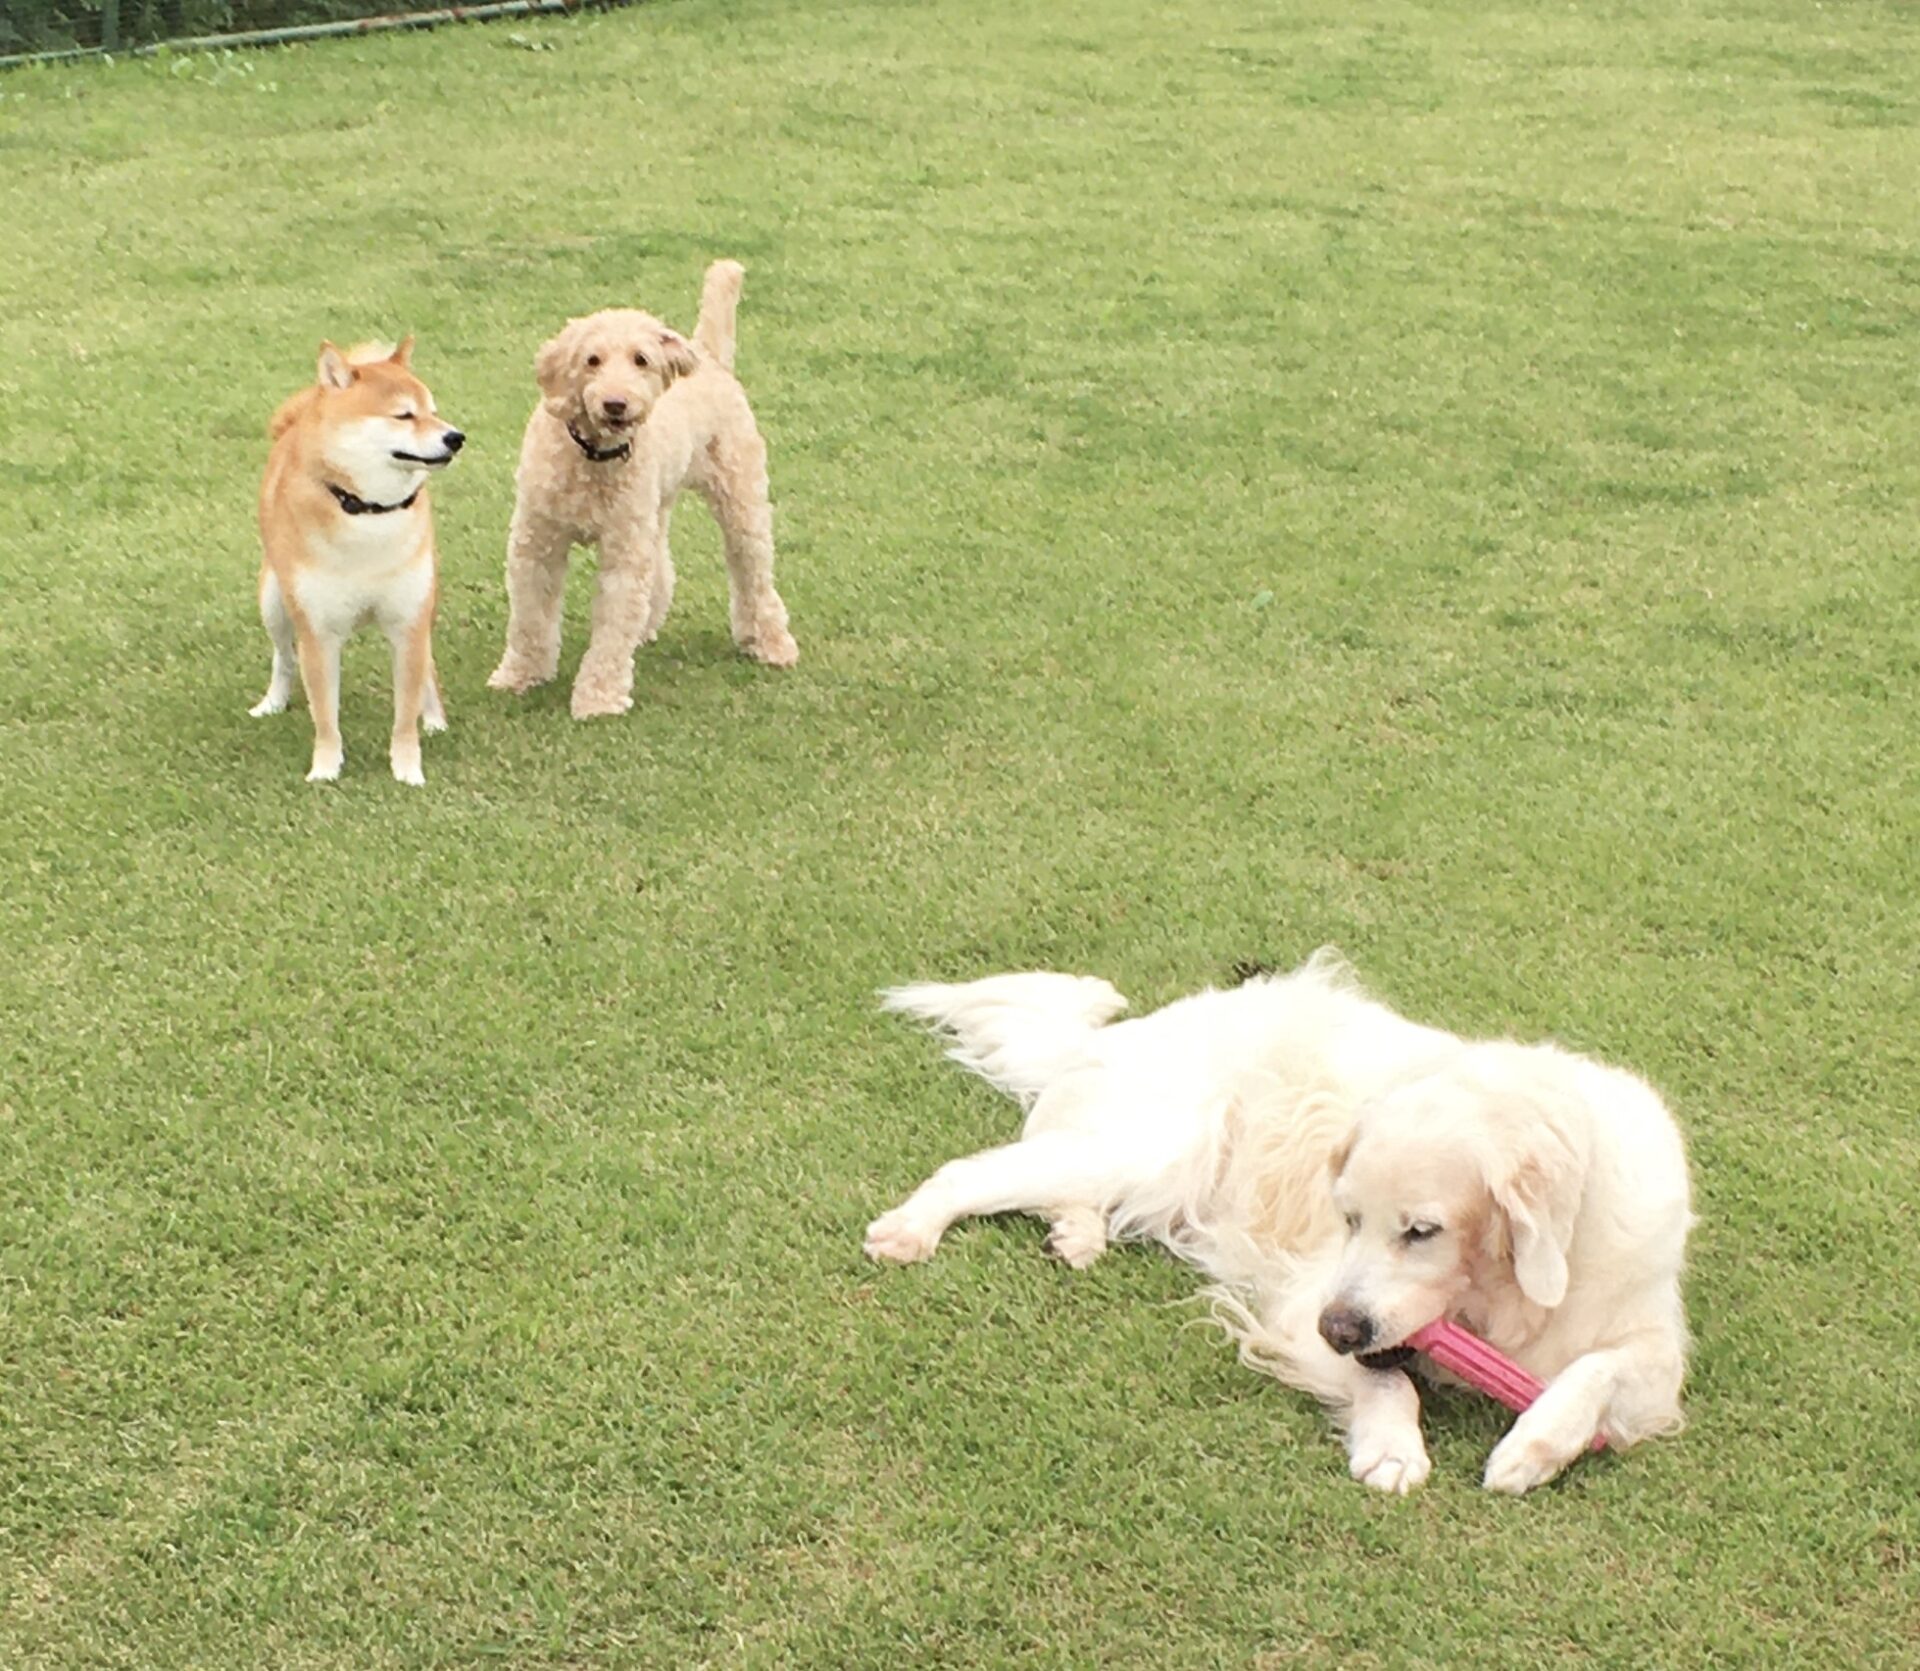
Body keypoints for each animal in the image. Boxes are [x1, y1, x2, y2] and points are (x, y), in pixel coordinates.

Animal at [251, 339, 464, 784]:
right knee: (283, 657)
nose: (456, 437)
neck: (369, 513)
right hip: (274, 602)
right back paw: (272, 702)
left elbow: (405, 715)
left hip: (426, 605)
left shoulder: (408, 623)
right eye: (404, 414)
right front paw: (325, 769)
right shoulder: (318, 633)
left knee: (429, 667)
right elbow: (325, 716)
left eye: (434, 410)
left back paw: (435, 718)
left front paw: (407, 771)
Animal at [486, 260, 798, 719]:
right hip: (656, 507)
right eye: (592, 360)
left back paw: (771, 643)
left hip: (741, 502)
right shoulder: (538, 542)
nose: (616, 404)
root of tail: (710, 358)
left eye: (641, 360)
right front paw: (519, 675)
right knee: (663, 567)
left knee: (754, 576)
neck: (592, 457)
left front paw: (599, 698)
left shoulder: (622, 552)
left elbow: (613, 627)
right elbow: (530, 619)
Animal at [865, 954, 1692, 1495]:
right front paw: (1392, 1446)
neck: (1514, 1297)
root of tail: (1118, 1032)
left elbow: (1601, 1367)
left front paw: (1535, 1445)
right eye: (1349, 1216)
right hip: (1153, 1149)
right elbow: (1388, 1377)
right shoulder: (1307, 1300)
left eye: (1422, 1230)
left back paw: (1077, 1234)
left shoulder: (1653, 1340)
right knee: (976, 1169)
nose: (1339, 1327)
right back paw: (911, 1228)